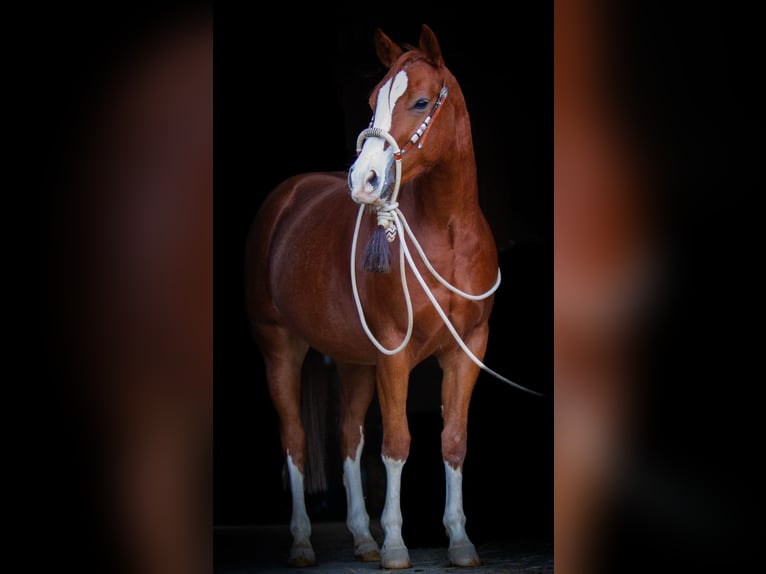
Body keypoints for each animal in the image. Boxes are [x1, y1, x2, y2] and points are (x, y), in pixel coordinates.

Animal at [245, 24, 534, 569]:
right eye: (373, 99)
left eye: (420, 102)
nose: (364, 180)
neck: (448, 233)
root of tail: (285, 199)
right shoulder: (395, 352)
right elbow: (397, 443)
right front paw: (396, 546)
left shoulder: (467, 349)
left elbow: (453, 441)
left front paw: (459, 542)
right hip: (281, 346)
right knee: (295, 440)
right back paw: (302, 542)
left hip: (355, 360)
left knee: (348, 438)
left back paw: (361, 538)